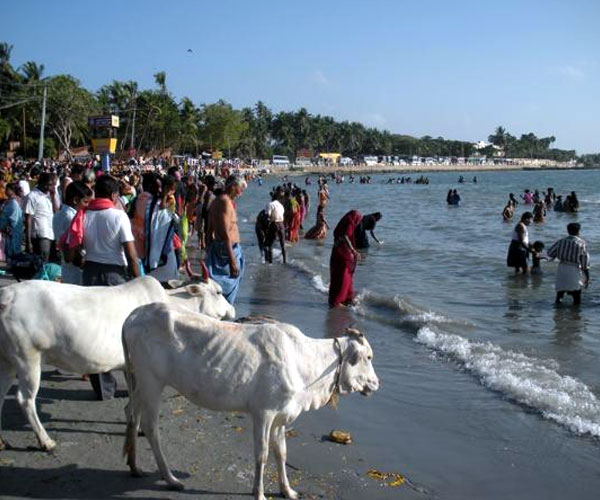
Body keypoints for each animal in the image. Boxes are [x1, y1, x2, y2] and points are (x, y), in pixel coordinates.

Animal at [0, 276, 234, 452]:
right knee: (25, 400)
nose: (233, 310)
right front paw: (139, 428)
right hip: (28, 359)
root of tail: (7, 294)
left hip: (8, 363)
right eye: (219, 292)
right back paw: (46, 441)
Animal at [122, 300, 380, 500]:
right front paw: (259, 493)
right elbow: (262, 454)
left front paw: (287, 490)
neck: (304, 361)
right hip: (152, 382)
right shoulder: (263, 413)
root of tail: (134, 315)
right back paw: (170, 478)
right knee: (150, 427)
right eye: (368, 357)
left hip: (140, 381)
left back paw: (135, 466)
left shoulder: (281, 416)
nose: (376, 384)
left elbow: (281, 452)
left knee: (131, 413)